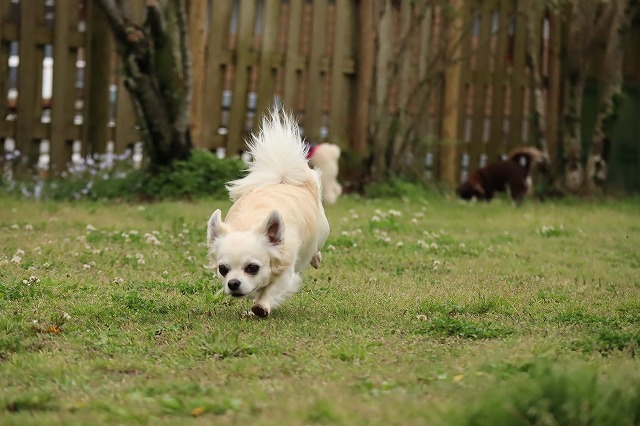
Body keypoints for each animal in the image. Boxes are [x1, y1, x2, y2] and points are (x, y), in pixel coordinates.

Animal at [207, 110, 330, 318]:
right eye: (223, 269)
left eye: (252, 268)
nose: (233, 283)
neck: (248, 225)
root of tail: (282, 179)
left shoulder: (287, 271)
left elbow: (272, 289)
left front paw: (261, 306)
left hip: (322, 231)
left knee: (316, 247)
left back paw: (316, 258)